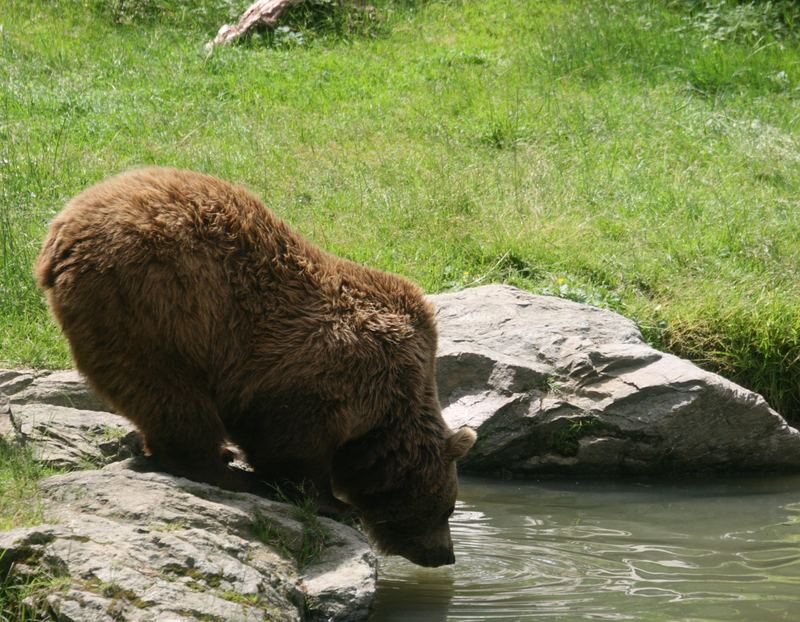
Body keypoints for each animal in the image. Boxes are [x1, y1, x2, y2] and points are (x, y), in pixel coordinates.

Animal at [36, 168, 476, 568]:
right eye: (447, 509)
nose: (446, 556)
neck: (388, 412)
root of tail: (59, 234)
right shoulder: (322, 373)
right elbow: (293, 445)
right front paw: (333, 503)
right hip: (159, 304)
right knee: (170, 394)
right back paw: (225, 471)